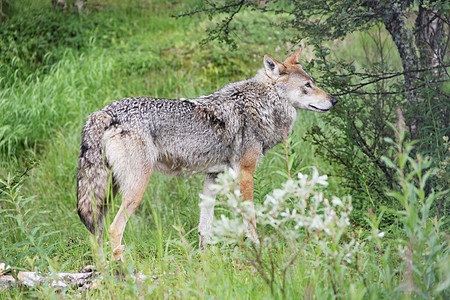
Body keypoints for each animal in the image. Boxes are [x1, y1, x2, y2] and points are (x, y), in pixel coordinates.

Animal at [77, 48, 338, 260]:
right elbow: (250, 218)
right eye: (308, 86)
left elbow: (205, 226)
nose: (334, 100)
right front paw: (257, 247)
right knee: (114, 229)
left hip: (107, 193)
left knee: (96, 232)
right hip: (135, 189)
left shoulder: (213, 177)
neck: (261, 106)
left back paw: (103, 269)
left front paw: (205, 259)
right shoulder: (245, 173)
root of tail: (104, 112)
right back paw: (122, 269)